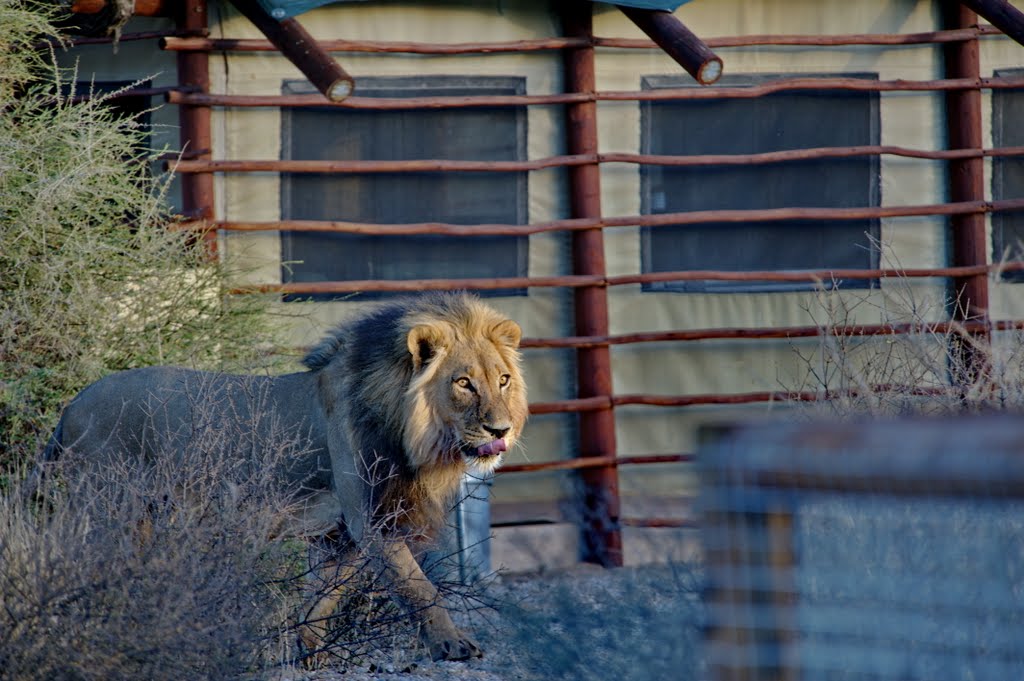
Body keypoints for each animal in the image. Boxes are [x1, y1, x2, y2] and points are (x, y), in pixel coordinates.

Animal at [39, 290, 528, 659]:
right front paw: (453, 644)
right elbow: (419, 587)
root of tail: (70, 408)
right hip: (107, 509)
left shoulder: (340, 535)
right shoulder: (371, 521)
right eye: (463, 383)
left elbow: (323, 597)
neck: (408, 431)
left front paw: (309, 652)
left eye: (503, 380)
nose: (500, 429)